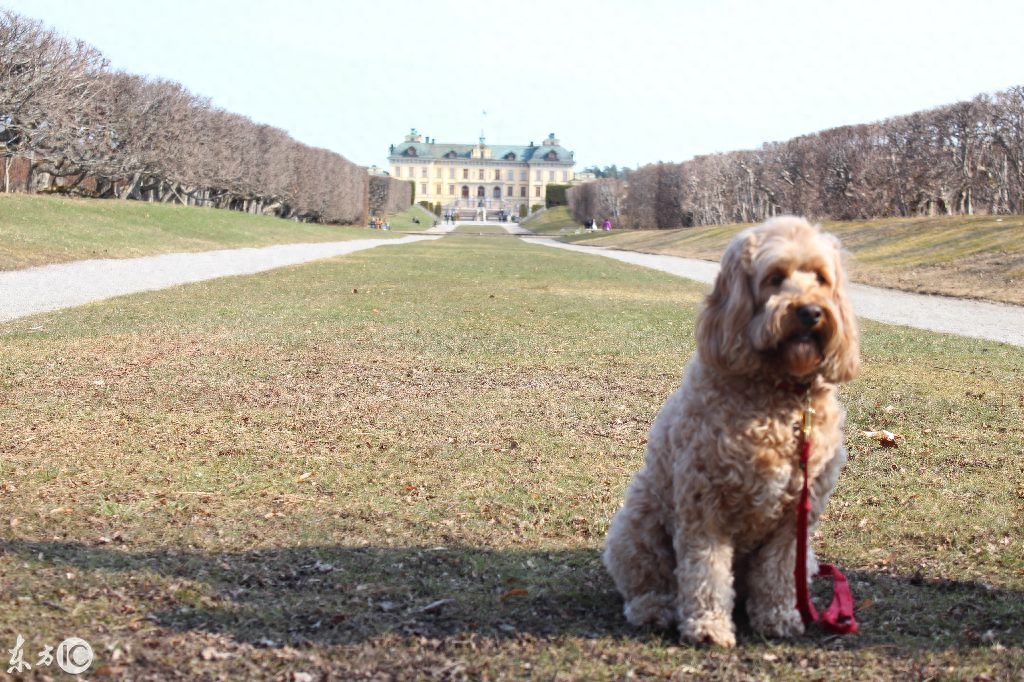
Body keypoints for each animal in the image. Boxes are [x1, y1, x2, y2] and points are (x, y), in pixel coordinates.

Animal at [602, 215, 860, 647]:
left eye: (821, 278)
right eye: (775, 277)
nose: (810, 312)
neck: (778, 392)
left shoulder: (796, 519)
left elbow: (778, 573)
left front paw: (777, 618)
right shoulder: (704, 505)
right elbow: (706, 572)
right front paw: (708, 627)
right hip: (637, 523)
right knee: (649, 580)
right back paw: (654, 609)